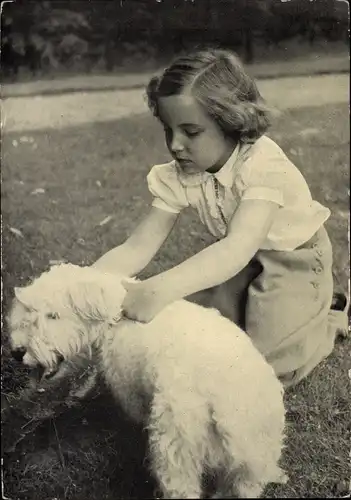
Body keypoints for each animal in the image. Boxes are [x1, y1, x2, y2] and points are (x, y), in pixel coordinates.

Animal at [8, 264, 288, 498]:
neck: (114, 316)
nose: (17, 352)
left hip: (175, 450)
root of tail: (230, 406)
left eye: (53, 315)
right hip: (250, 466)